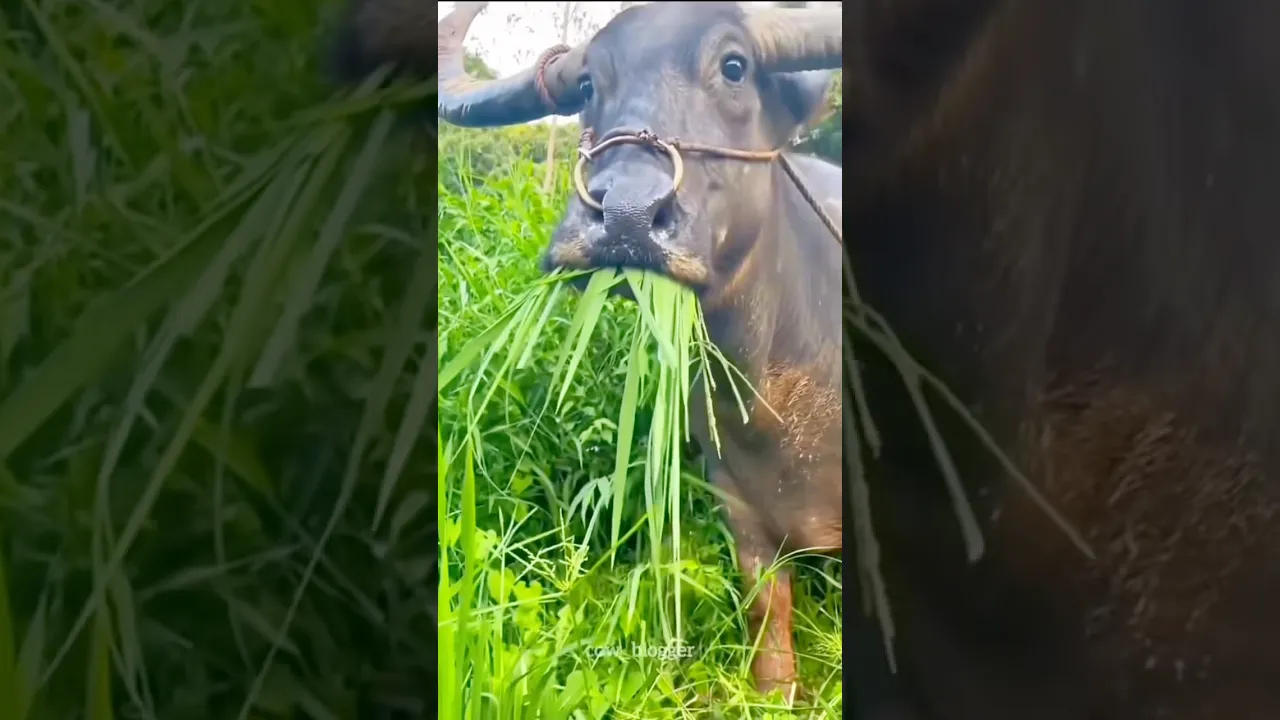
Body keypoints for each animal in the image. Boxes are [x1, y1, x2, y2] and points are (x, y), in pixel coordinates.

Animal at [329, 0, 846, 704]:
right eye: (586, 86)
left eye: (735, 66)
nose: (626, 214)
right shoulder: (733, 496)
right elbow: (766, 601)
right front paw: (775, 691)